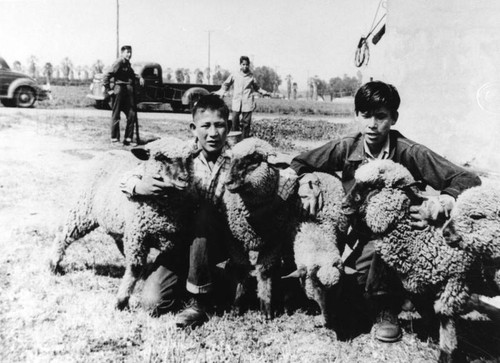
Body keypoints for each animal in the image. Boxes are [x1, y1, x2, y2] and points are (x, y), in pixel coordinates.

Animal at [48, 138, 197, 312]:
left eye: (190, 157)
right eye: (160, 157)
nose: (184, 179)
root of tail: (106, 153)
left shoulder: (175, 241)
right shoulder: (138, 237)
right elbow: (134, 268)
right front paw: (121, 301)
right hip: (83, 210)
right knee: (64, 234)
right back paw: (53, 266)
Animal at [224, 139, 348, 324]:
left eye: (254, 159)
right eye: (316, 284)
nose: (228, 182)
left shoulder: (275, 242)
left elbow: (266, 272)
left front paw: (269, 307)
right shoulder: (236, 242)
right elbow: (242, 270)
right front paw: (237, 306)